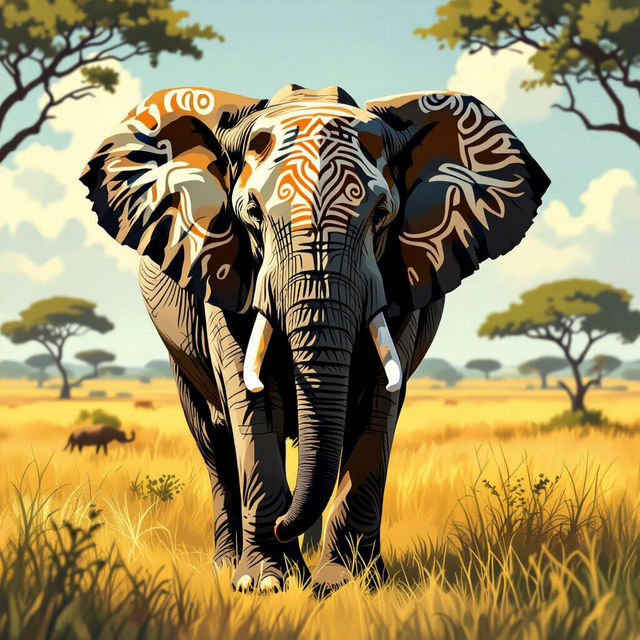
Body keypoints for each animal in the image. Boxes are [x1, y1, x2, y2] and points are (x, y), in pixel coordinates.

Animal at [80, 84, 549, 594]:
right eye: (252, 215)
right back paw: (227, 566)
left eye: (382, 217)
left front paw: (347, 584)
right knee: (213, 439)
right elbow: (250, 401)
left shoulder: (402, 276)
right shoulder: (219, 266)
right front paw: (266, 584)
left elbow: (377, 408)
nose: (284, 525)